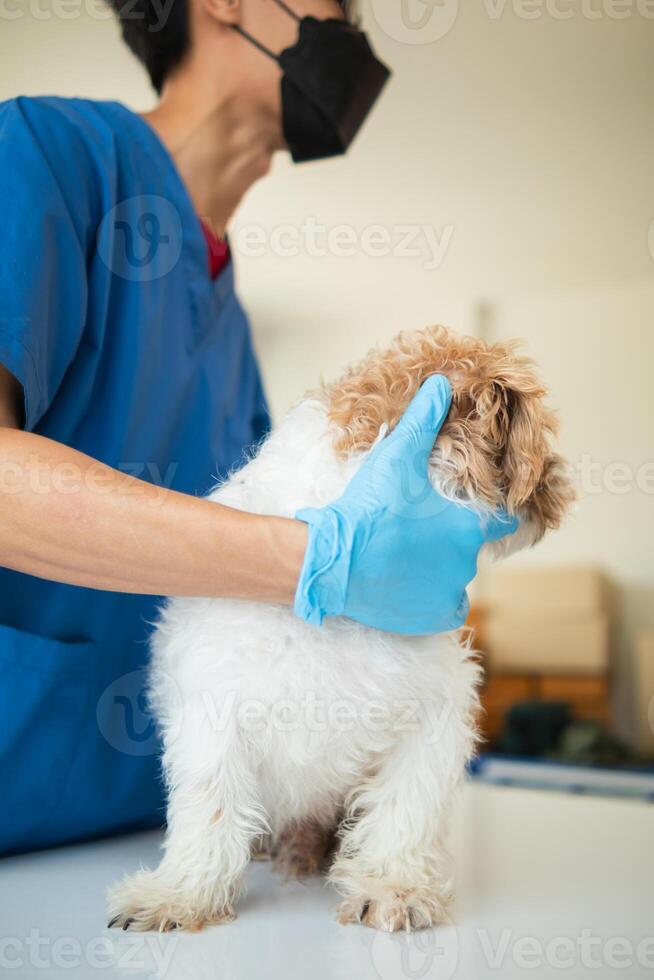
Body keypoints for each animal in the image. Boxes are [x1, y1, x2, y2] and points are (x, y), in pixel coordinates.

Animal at [106, 328, 576, 936]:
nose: (563, 490)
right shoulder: (213, 716)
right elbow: (209, 808)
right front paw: (180, 896)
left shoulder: (433, 714)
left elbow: (405, 806)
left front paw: (394, 888)